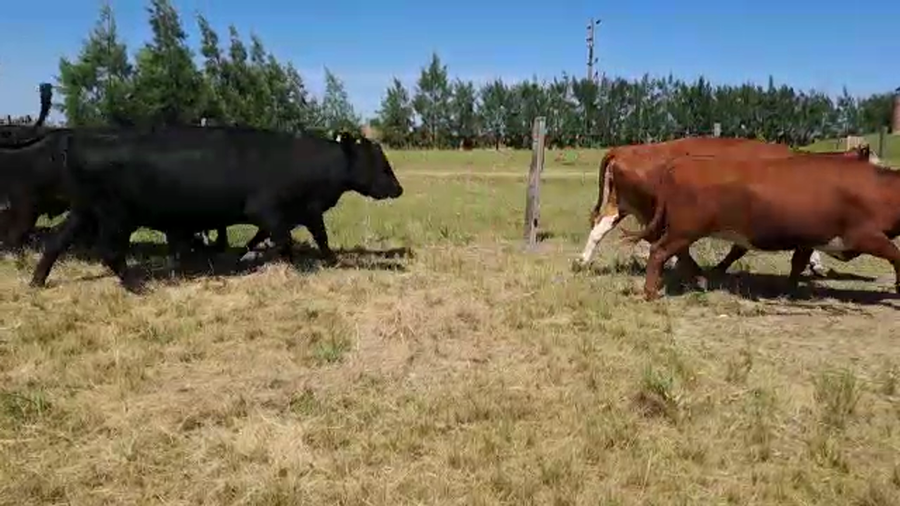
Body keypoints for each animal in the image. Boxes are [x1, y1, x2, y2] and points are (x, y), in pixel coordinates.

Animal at [27, 125, 403, 290]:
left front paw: (330, 260)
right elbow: (282, 239)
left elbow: (318, 237)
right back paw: (137, 285)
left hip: (83, 211)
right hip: (114, 216)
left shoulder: (305, 211)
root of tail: (79, 138)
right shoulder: (266, 209)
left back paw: (37, 281)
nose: (398, 188)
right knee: (110, 251)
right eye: (379, 164)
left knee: (56, 241)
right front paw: (276, 263)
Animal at [618, 154, 900, 301]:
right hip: (684, 229)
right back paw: (652, 292)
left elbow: (797, 264)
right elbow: (897, 255)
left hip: (682, 230)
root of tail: (682, 163)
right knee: (659, 251)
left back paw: (699, 280)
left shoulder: (808, 239)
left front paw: (790, 291)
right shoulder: (865, 236)